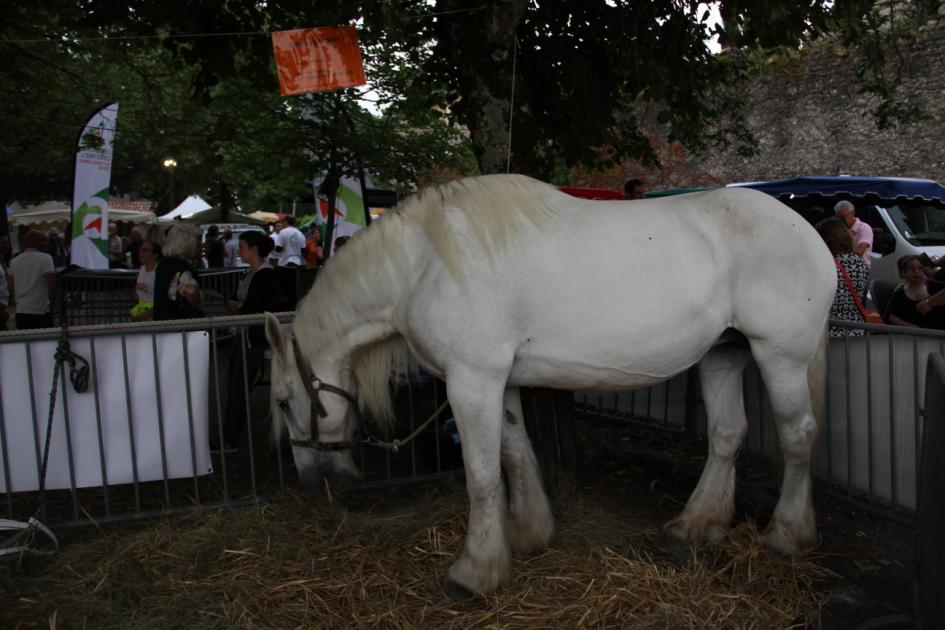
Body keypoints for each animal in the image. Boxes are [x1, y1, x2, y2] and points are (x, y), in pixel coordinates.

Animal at [264, 175, 832, 600]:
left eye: (284, 401)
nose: (311, 482)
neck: (423, 264)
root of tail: (808, 233)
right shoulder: (499, 380)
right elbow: (514, 454)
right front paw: (525, 535)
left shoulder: (472, 380)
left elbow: (482, 475)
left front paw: (475, 571)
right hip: (723, 355)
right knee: (727, 435)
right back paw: (695, 526)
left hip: (780, 357)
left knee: (799, 436)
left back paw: (786, 535)